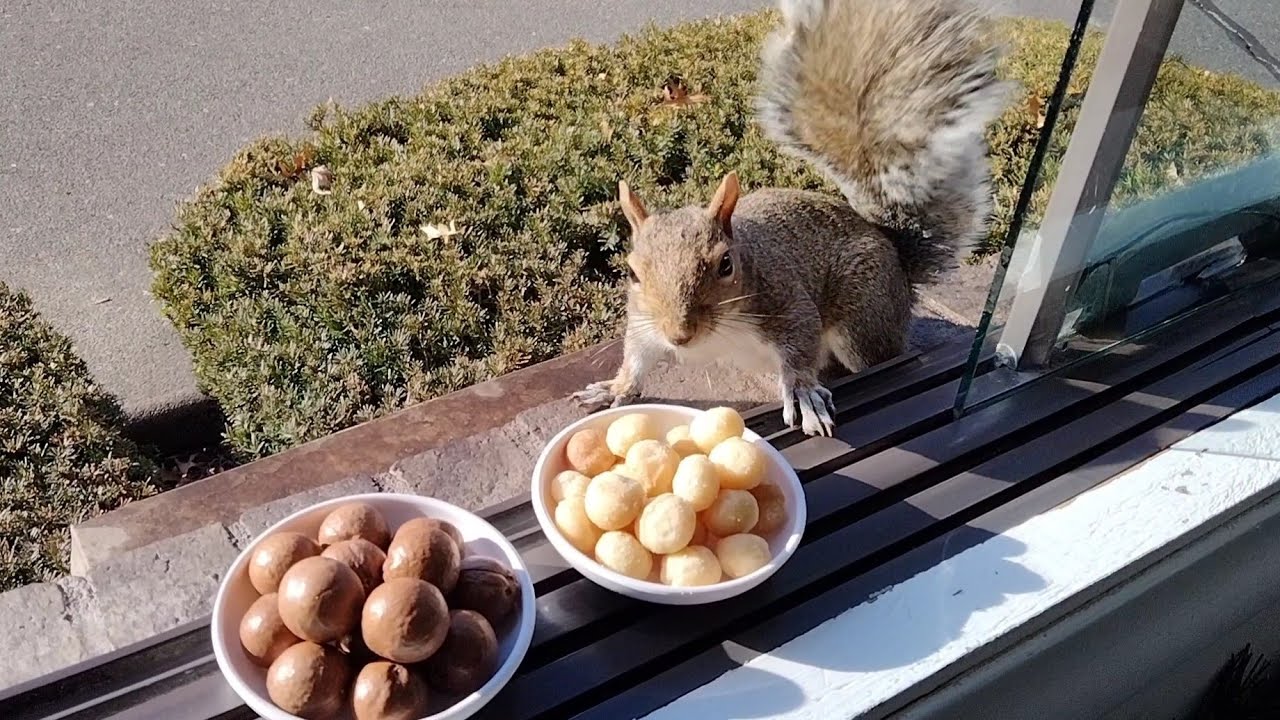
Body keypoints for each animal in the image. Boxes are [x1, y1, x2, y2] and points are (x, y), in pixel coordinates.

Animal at [573, 0, 1009, 436]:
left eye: (725, 265)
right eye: (633, 273)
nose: (679, 335)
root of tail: (898, 261)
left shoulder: (783, 299)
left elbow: (800, 342)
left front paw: (801, 393)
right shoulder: (645, 321)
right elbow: (637, 356)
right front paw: (614, 388)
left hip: (864, 315)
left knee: (876, 355)